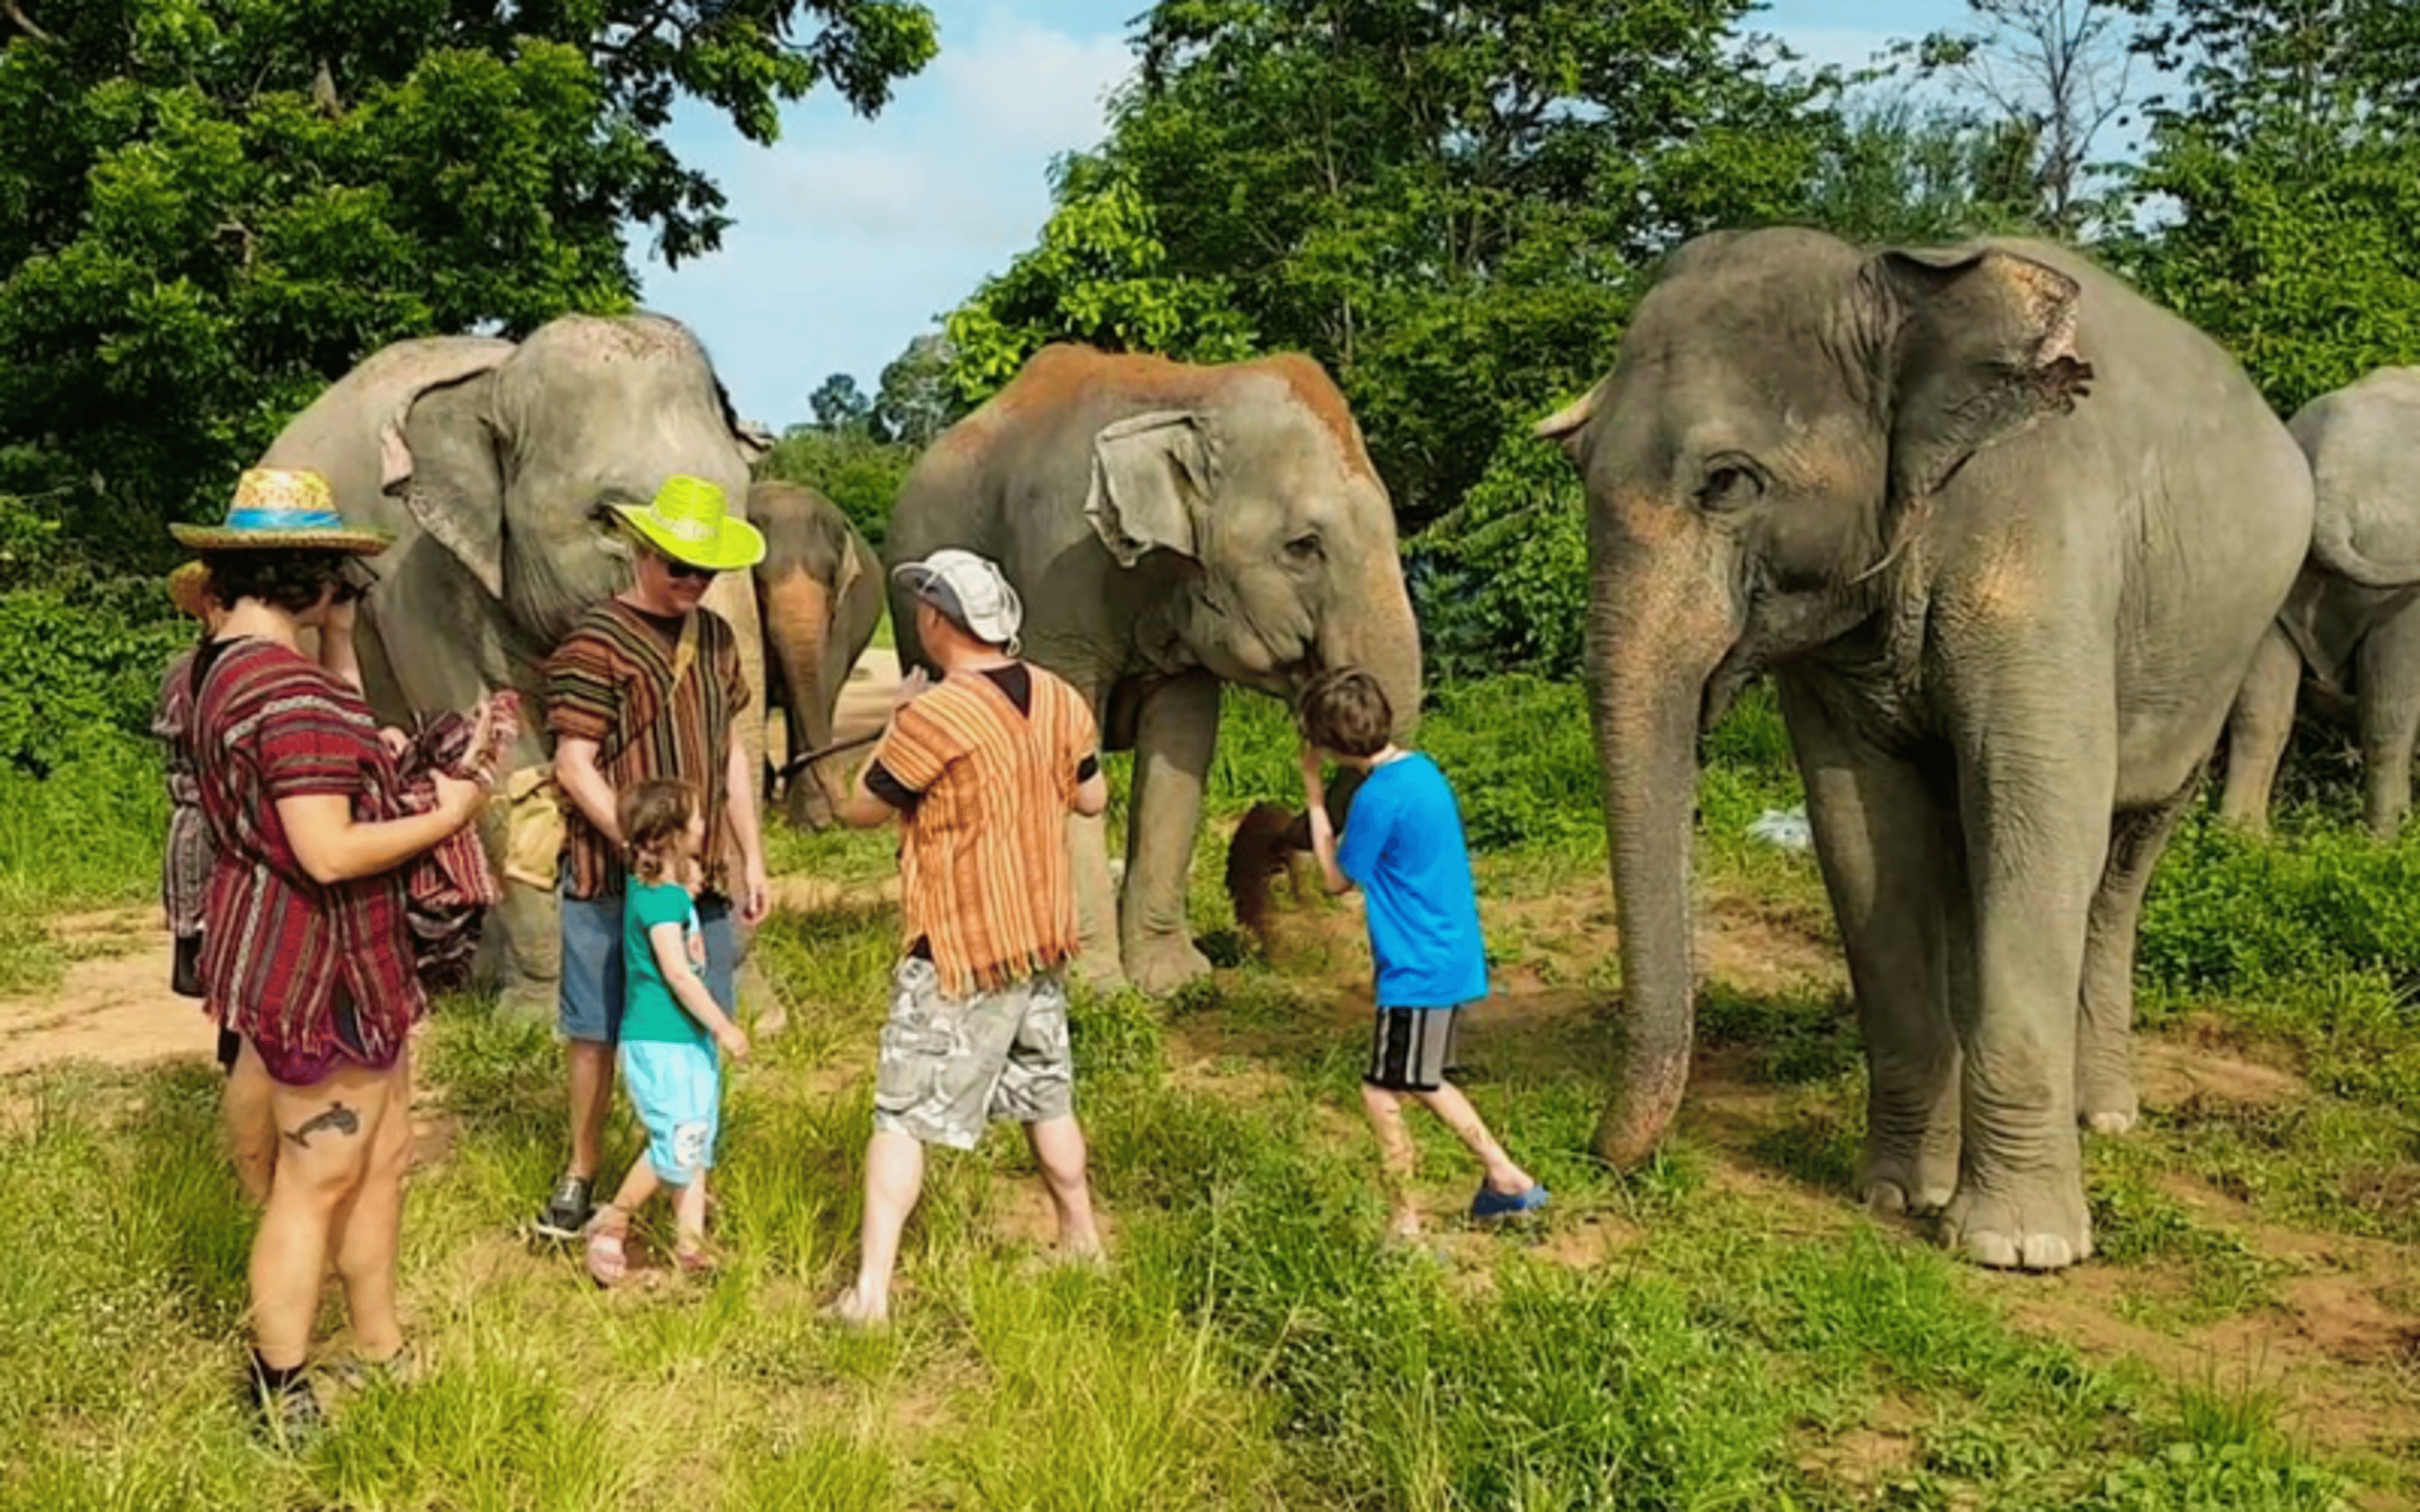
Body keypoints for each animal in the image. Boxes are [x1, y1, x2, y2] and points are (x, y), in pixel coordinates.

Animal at [256, 312, 770, 1006]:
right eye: (610, 519)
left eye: (742, 502)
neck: (494, 385)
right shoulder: (418, 577)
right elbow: (494, 753)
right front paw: (543, 1013)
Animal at [885, 348, 1413, 996]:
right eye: (1304, 546)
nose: (1263, 856)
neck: (1186, 393)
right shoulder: (1053, 572)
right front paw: (1092, 988)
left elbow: (1181, 747)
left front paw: (1173, 983)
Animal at [1539, 230, 2313, 1267]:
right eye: (1579, 464)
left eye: (1728, 481)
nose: (1596, 1159)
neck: (1897, 289)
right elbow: (1865, 834)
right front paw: (1899, 1197)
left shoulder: (2046, 554)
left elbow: (2044, 813)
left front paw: (2019, 1248)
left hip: (2219, 656)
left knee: (2124, 860)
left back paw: (2104, 1117)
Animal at [2216, 365, 2420, 836]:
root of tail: (2331, 487)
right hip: (2396, 572)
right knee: (2390, 705)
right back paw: (2386, 839)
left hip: (2276, 560)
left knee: (2262, 707)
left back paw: (2243, 837)